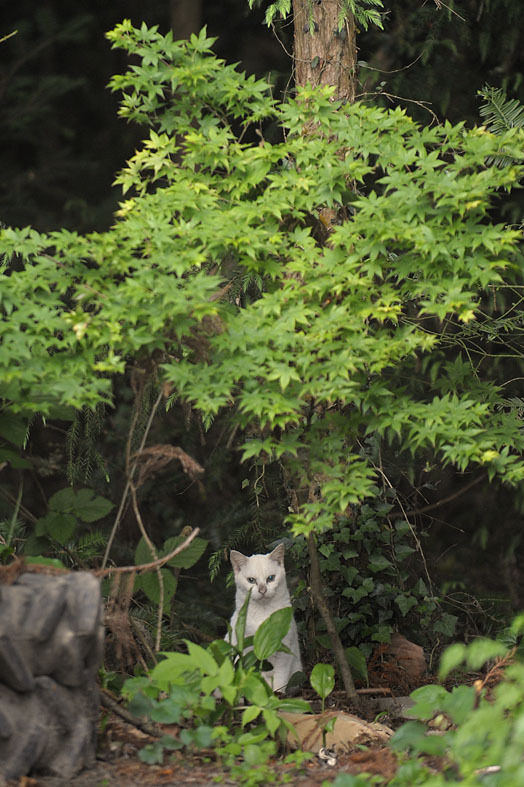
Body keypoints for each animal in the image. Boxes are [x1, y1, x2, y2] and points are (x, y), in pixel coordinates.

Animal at [229, 544, 302, 692]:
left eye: (271, 578)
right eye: (251, 580)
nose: (262, 590)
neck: (263, 615)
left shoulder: (285, 652)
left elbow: (281, 677)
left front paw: (277, 693)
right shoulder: (252, 653)